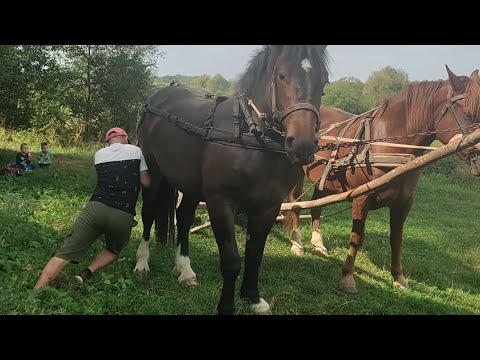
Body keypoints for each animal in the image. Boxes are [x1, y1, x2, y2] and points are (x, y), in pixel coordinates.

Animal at [135, 45, 330, 316]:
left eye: (324, 82)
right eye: (281, 76)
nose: (302, 145)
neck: (253, 138)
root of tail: (158, 98)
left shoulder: (268, 207)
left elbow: (255, 254)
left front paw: (252, 297)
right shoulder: (221, 203)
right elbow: (231, 260)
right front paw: (226, 306)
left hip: (191, 186)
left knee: (183, 218)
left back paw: (185, 269)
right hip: (153, 174)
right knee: (149, 213)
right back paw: (142, 263)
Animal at [284, 66, 480, 294]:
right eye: (468, 114)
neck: (387, 145)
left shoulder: (403, 203)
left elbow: (397, 239)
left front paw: (399, 277)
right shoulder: (361, 198)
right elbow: (356, 238)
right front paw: (347, 277)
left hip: (325, 179)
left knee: (316, 206)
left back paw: (318, 243)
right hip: (297, 174)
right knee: (295, 204)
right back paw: (297, 243)